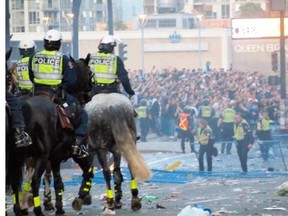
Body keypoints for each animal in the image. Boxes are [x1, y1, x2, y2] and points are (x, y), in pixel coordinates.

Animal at [6, 54, 94, 216]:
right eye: (90, 73)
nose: (88, 96)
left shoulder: (55, 159)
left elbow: (58, 183)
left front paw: (59, 207)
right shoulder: (78, 155)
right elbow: (88, 172)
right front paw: (80, 198)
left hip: (17, 156)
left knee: (15, 181)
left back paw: (19, 208)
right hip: (41, 156)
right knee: (34, 180)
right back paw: (37, 209)